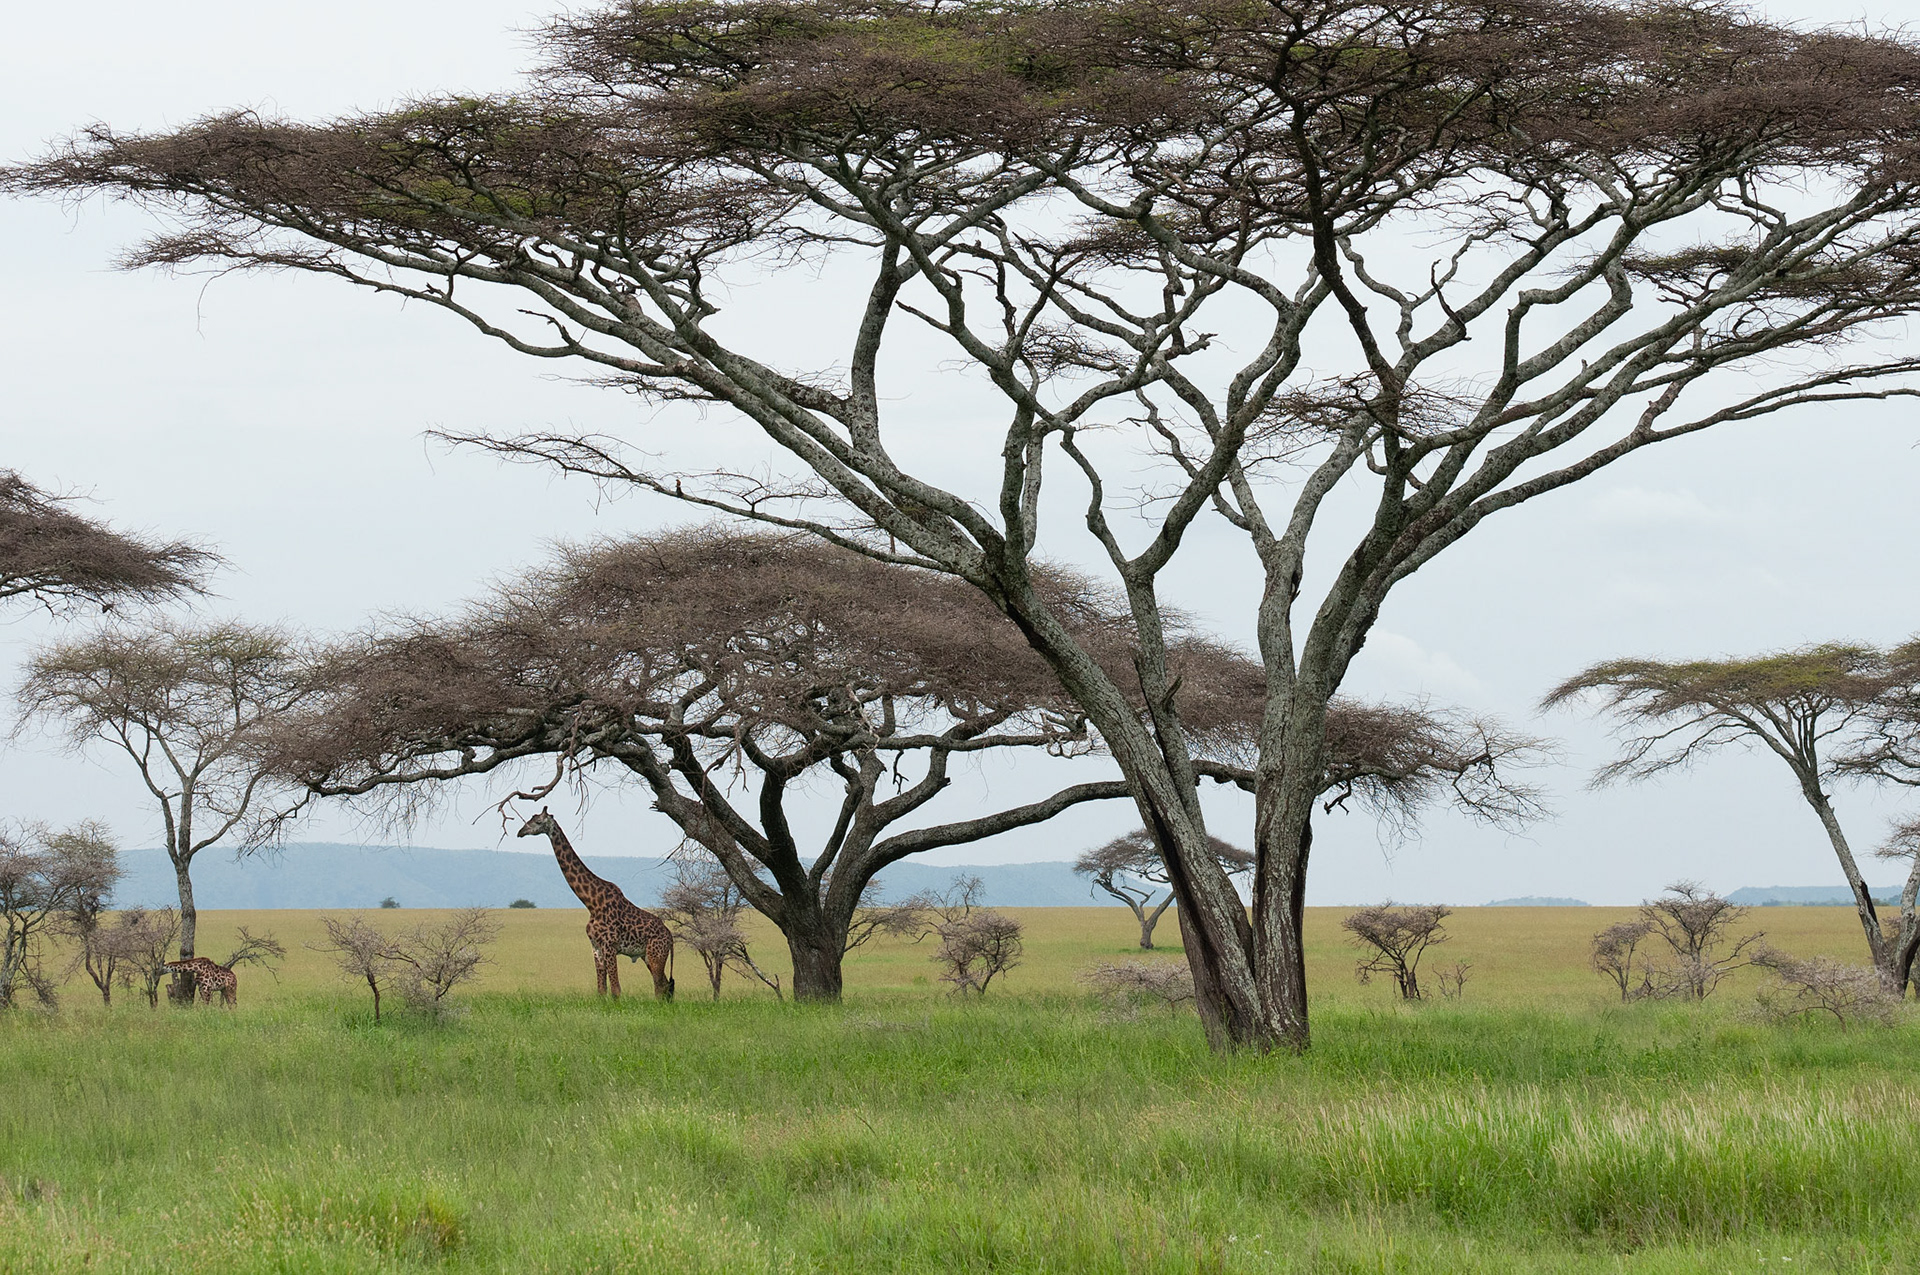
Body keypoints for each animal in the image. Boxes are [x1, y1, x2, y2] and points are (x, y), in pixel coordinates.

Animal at [516, 808, 675, 1000]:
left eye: (538, 821)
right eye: (530, 818)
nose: (520, 832)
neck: (592, 903)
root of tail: (670, 937)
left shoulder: (610, 946)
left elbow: (616, 991)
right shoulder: (596, 947)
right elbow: (601, 990)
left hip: (656, 954)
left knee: (660, 987)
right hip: (647, 956)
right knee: (665, 986)